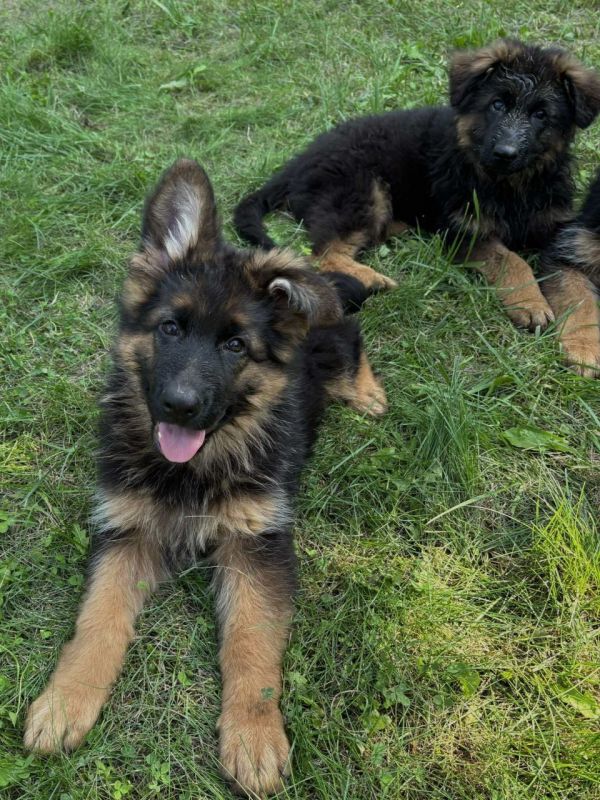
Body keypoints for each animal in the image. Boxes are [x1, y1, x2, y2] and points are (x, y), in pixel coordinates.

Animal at [23, 159, 387, 797]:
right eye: (170, 329)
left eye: (235, 344)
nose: (179, 406)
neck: (193, 468)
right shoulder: (125, 530)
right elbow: (96, 621)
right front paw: (65, 703)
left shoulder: (256, 542)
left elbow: (251, 644)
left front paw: (255, 735)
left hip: (336, 343)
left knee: (353, 344)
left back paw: (368, 393)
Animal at [234, 39, 600, 332]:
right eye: (497, 104)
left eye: (541, 115)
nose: (505, 153)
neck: (510, 186)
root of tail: (297, 163)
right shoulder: (462, 233)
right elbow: (511, 259)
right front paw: (530, 302)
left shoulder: (557, 228)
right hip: (361, 191)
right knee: (324, 254)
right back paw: (372, 278)